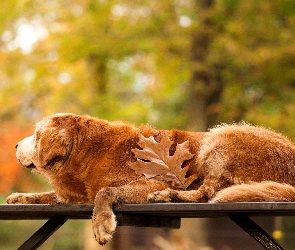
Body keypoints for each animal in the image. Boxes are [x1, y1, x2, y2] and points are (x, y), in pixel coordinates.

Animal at [6, 113, 295, 244]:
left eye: (36, 135)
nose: (16, 145)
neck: (87, 152)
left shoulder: (153, 180)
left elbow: (105, 192)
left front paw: (101, 223)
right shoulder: (76, 196)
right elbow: (48, 196)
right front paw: (19, 197)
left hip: (221, 138)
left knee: (207, 193)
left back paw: (169, 196)